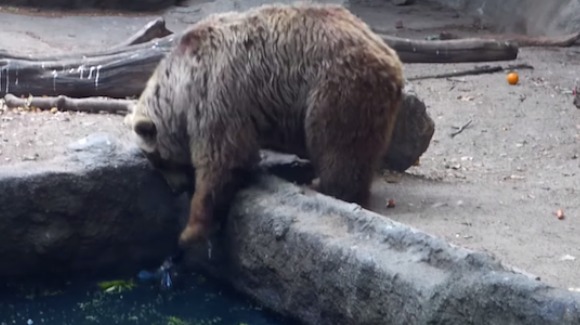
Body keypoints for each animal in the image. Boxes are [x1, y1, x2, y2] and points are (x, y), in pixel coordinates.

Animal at [124, 2, 406, 247]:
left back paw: (322, 185)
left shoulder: (217, 90)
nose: (176, 188)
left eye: (158, 159)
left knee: (338, 147)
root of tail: (391, 59)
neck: (181, 87)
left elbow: (221, 157)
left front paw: (190, 231)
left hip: (336, 88)